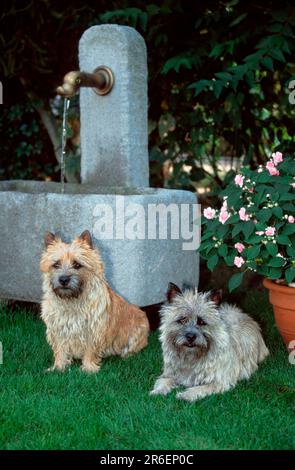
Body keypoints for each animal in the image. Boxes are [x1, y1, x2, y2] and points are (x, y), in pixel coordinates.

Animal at [40, 229, 150, 372]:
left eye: (77, 264)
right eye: (56, 264)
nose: (63, 280)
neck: (72, 300)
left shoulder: (93, 330)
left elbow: (90, 350)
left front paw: (88, 369)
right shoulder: (58, 329)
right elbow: (60, 350)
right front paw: (59, 367)